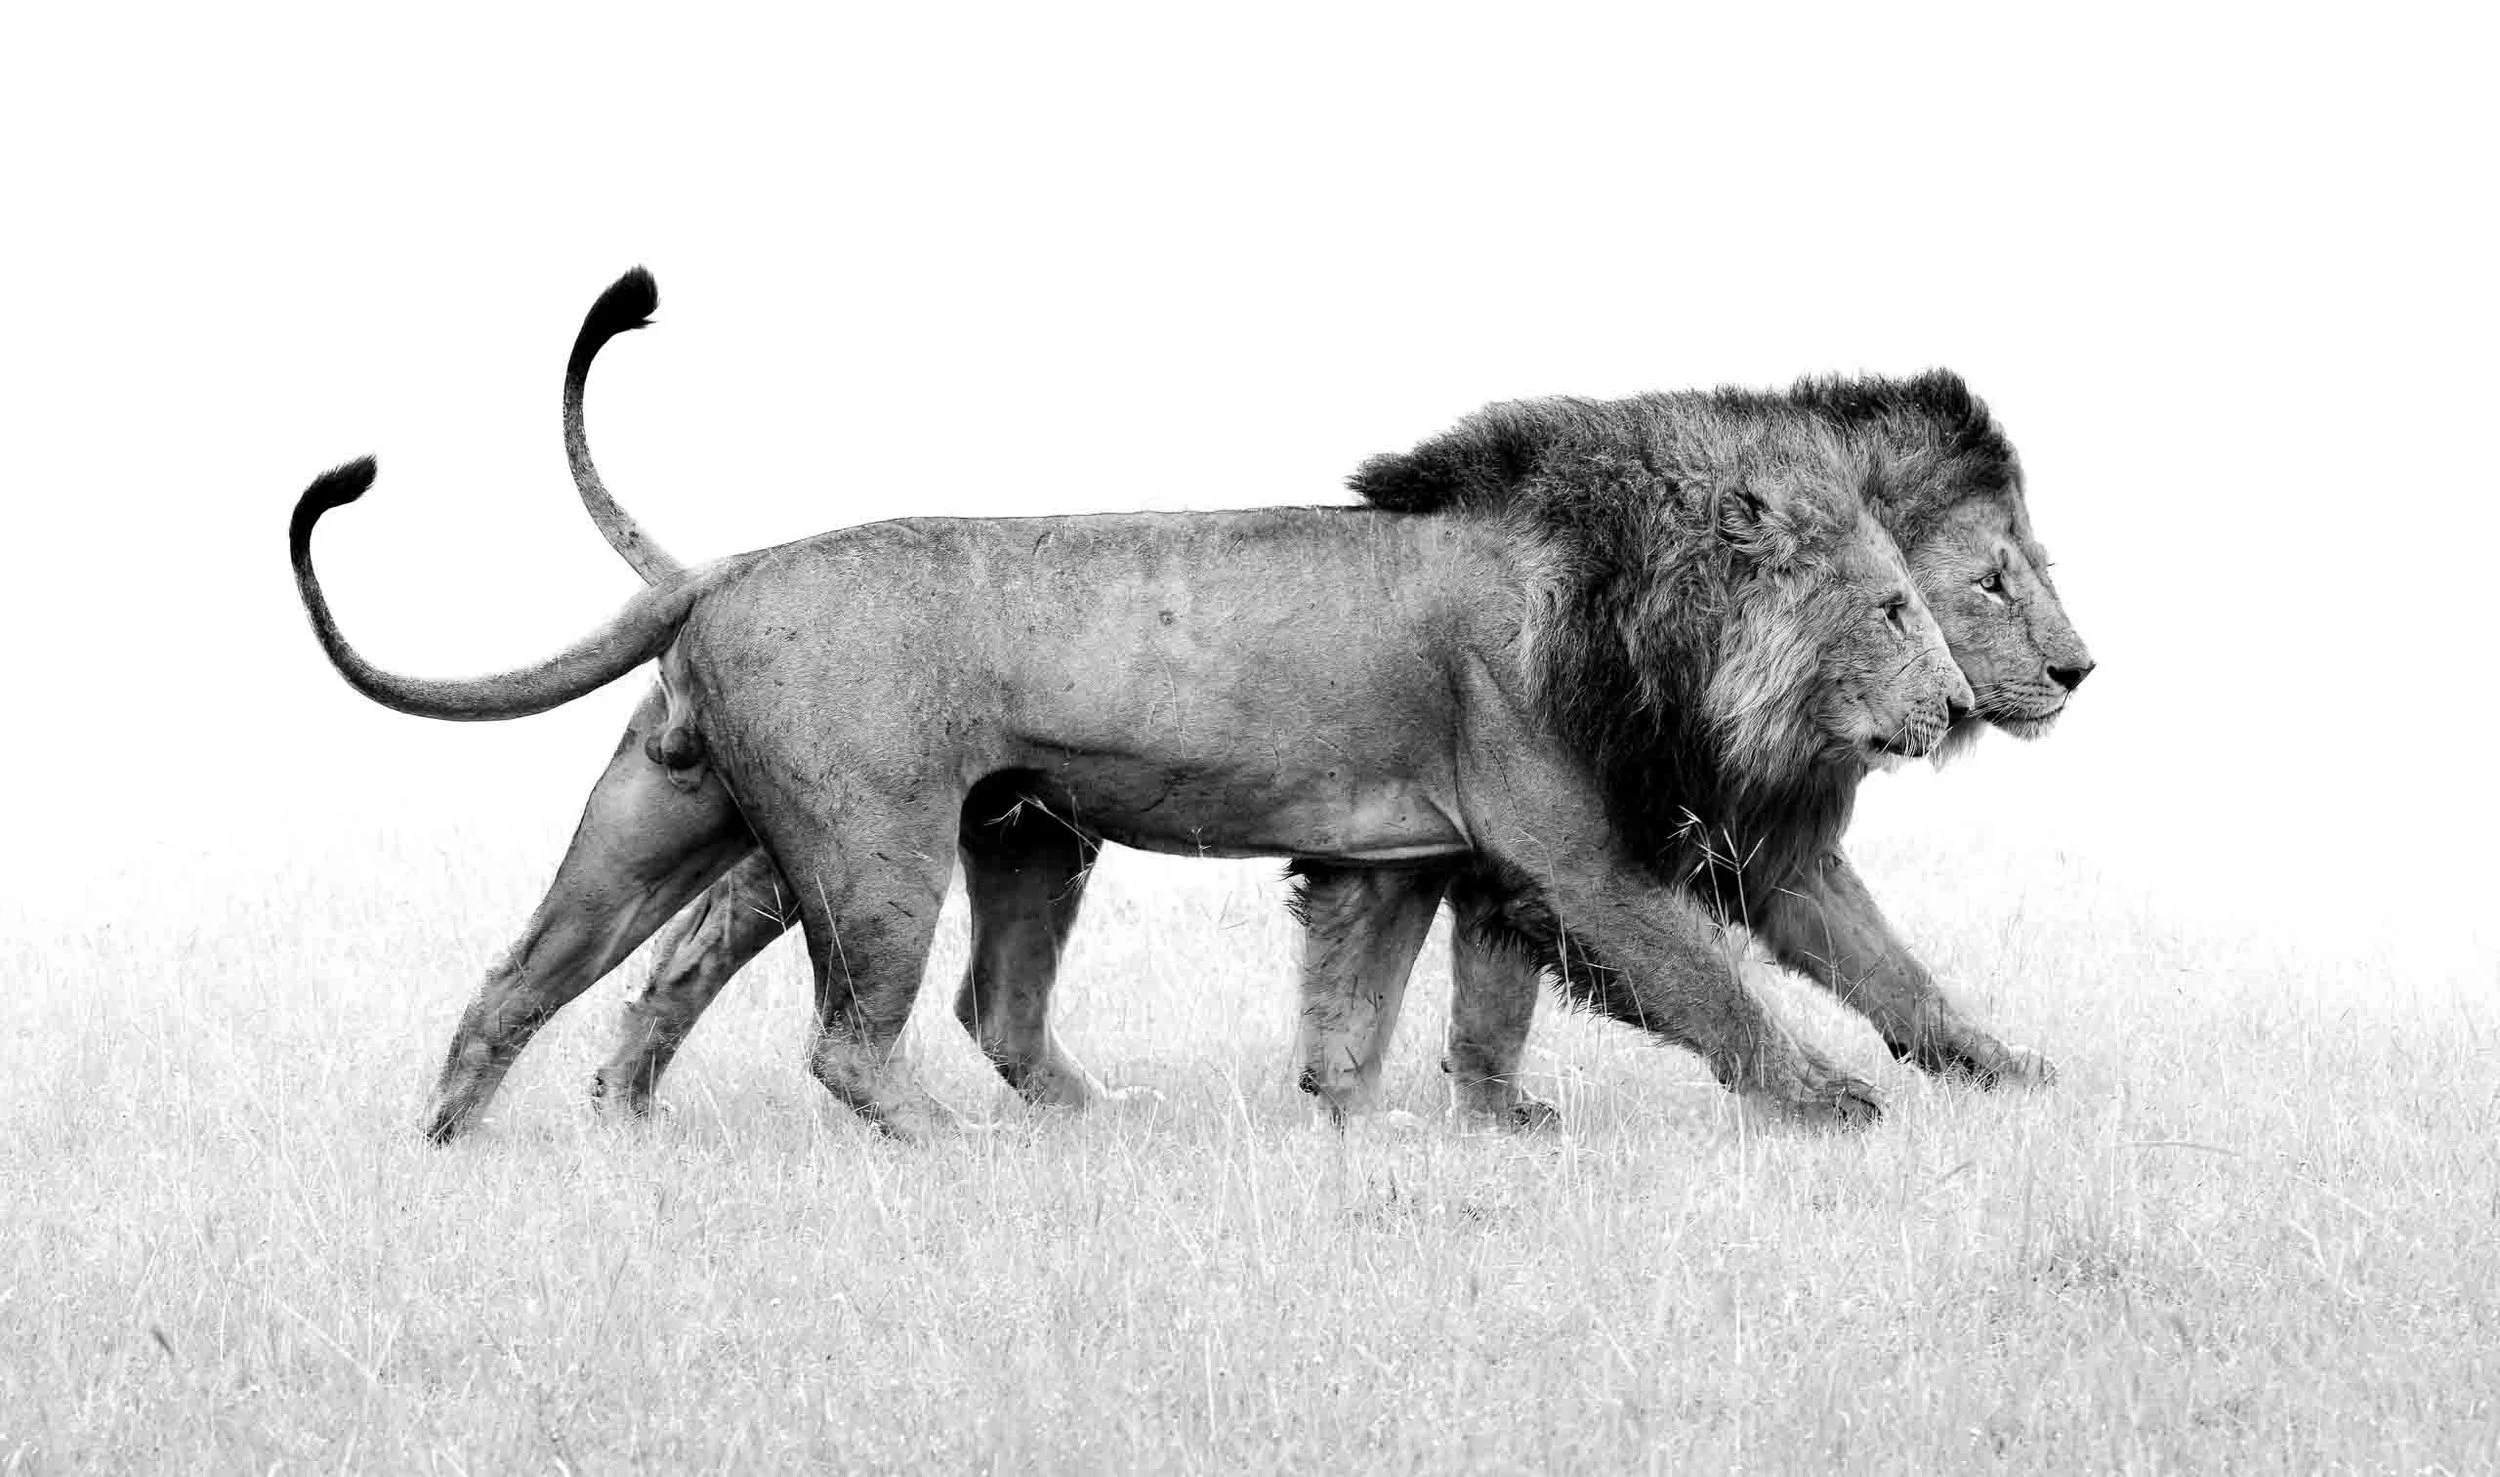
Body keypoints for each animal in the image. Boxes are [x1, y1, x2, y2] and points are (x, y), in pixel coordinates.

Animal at [288, 285, 1972, 1142]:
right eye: (1896, 607)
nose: (1960, 704)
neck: (1619, 589)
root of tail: (726, 569)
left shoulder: (1393, 854)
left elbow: (1359, 1016)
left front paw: (1354, 1131)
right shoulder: (1572, 853)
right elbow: (1708, 984)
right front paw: (1837, 1104)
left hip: (701, 818)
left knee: (521, 978)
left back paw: (463, 1147)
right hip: (878, 844)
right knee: (855, 1046)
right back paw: (977, 1150)